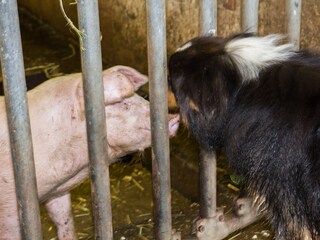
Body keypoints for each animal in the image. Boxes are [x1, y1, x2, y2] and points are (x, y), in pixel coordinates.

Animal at [0, 66, 180, 240]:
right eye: (121, 102)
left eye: (137, 96)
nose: (174, 118)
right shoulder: (9, 209)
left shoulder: (57, 192)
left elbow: (64, 219)